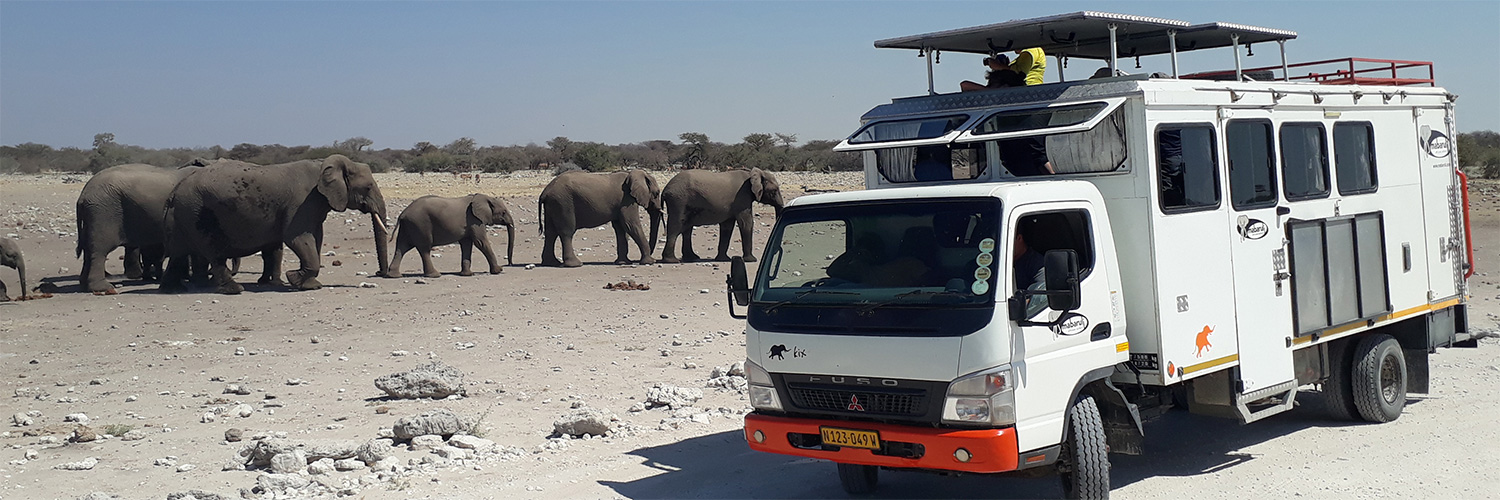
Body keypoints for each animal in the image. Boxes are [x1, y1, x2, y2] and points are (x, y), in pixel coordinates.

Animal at [160, 156, 390, 294]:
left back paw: (172, 289)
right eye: (368, 187)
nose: (381, 274)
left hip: (186, 212)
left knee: (178, 251)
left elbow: (316, 237)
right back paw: (234, 289)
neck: (324, 165)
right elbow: (297, 238)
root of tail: (177, 189)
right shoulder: (302, 202)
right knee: (213, 250)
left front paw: (309, 284)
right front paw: (296, 280)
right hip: (197, 210)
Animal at [384, 191, 519, 276]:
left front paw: (467, 274)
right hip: (420, 224)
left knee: (401, 247)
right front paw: (498, 270)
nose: (510, 264)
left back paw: (393, 275)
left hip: (409, 226)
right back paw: (435, 275)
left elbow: (467, 244)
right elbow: (481, 242)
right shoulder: (474, 220)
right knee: (424, 249)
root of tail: (403, 213)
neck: (484, 197)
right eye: (503, 212)